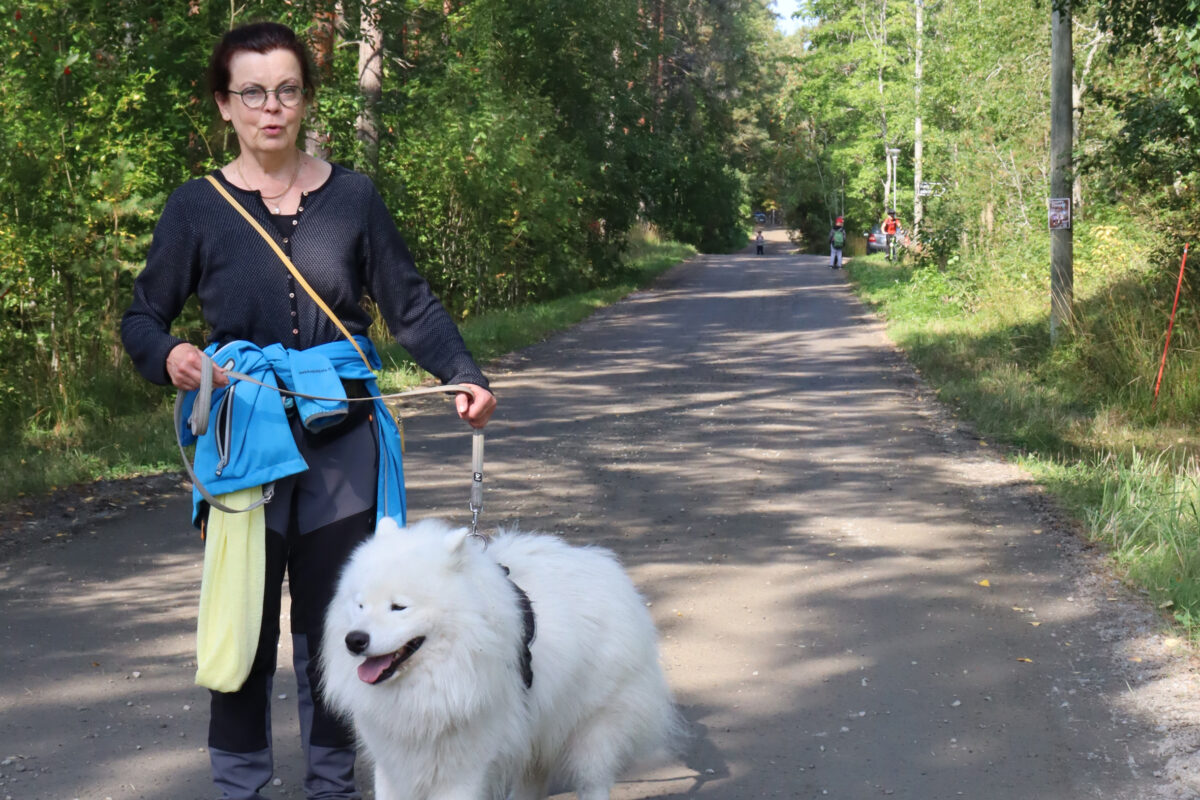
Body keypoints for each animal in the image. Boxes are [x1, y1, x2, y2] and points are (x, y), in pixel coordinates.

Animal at [321, 520, 686, 800]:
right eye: (360, 605)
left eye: (399, 607)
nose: (354, 640)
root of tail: (606, 565)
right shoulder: (393, 764)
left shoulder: (464, 770)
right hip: (537, 730)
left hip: (593, 732)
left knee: (592, 782)